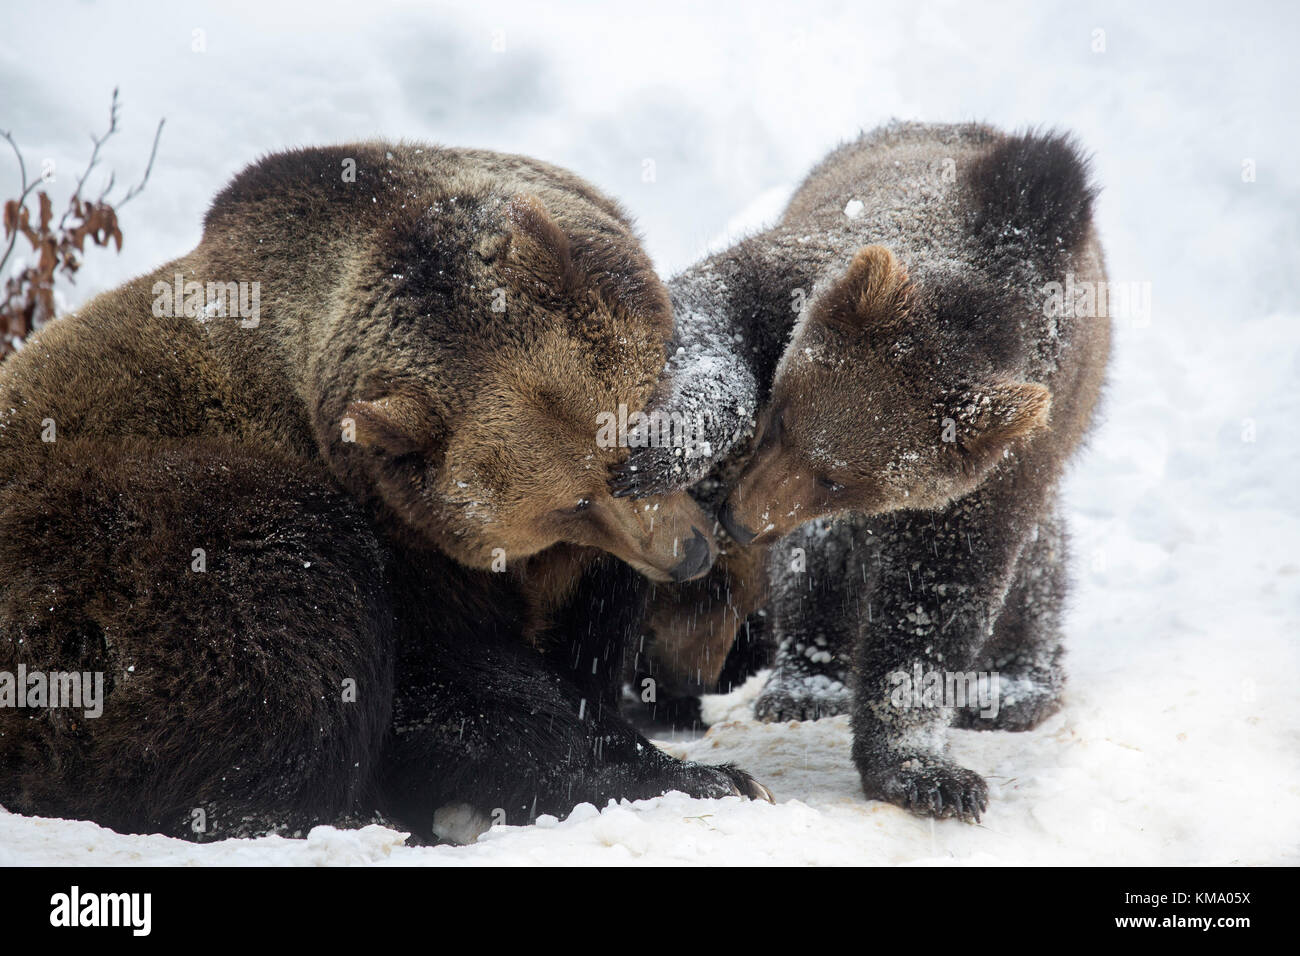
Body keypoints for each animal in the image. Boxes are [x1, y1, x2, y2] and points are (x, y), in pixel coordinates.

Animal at [0, 138, 764, 842]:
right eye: (571, 502)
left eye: (631, 434)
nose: (690, 553)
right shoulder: (410, 550)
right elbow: (453, 692)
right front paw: (699, 775)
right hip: (110, 558)